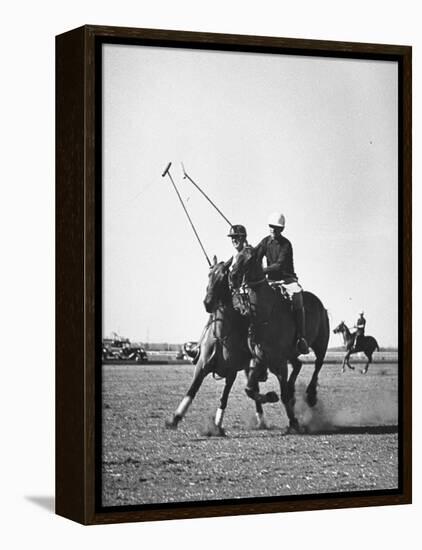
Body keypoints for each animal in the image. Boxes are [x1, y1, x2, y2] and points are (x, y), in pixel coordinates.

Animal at [165, 258, 270, 436]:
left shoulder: (231, 372)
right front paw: (175, 419)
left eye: (222, 277)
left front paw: (217, 426)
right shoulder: (201, 367)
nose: (207, 303)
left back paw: (261, 420)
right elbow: (191, 391)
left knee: (254, 387)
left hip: (248, 366)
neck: (222, 337)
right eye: (209, 274)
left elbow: (224, 398)